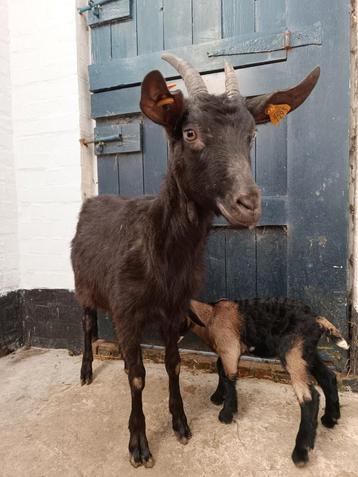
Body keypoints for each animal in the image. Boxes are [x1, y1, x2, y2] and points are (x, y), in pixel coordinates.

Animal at [70, 54, 318, 466]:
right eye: (190, 133)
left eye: (251, 136)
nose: (248, 204)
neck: (160, 249)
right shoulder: (126, 311)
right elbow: (136, 374)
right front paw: (139, 445)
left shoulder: (175, 308)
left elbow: (173, 365)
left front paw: (181, 424)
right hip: (82, 284)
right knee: (87, 323)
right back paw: (86, 371)